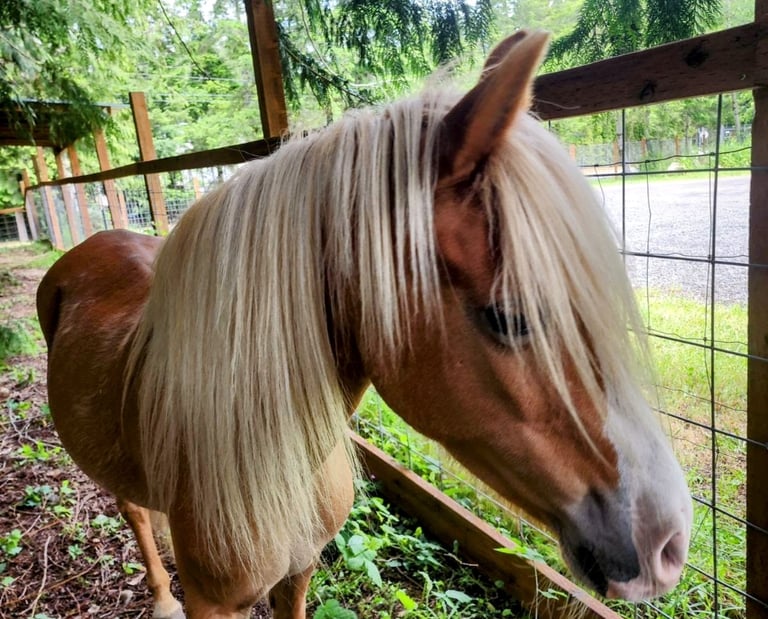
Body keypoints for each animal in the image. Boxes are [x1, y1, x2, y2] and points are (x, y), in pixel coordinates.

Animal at [36, 31, 692, 619]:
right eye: (511, 316)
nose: (669, 541)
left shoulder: (299, 573)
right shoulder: (216, 603)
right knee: (135, 514)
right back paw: (161, 597)